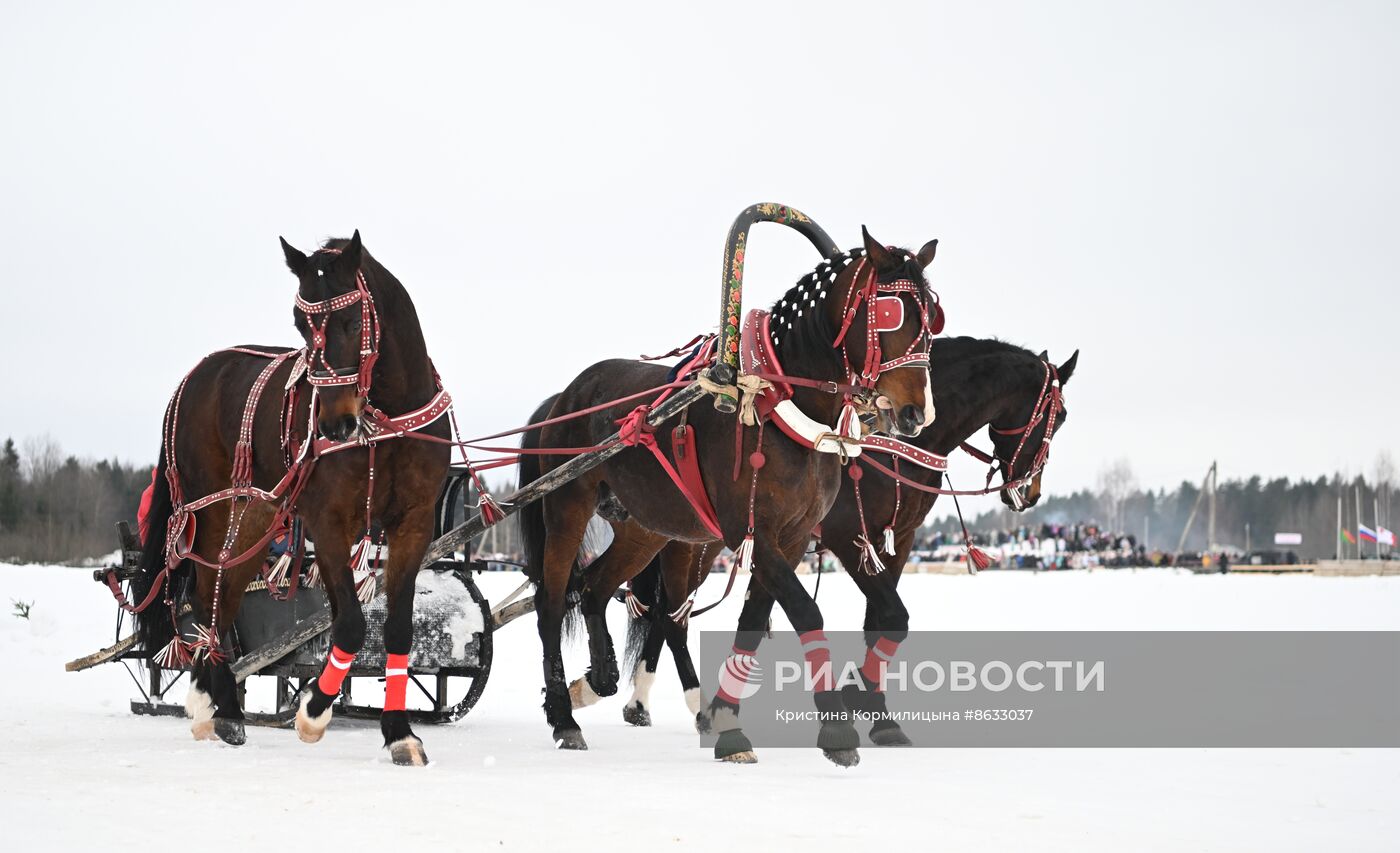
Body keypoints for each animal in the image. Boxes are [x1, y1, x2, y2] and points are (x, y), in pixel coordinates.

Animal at [130, 232, 448, 767]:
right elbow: (349, 625)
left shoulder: (414, 523)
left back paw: (221, 707)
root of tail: (193, 377)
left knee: (226, 593)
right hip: (213, 508)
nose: (334, 424)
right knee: (207, 593)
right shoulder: (329, 521)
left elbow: (397, 629)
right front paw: (314, 709)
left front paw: (399, 733)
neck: (384, 421)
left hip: (256, 515)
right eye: (301, 324)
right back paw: (213, 702)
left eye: (351, 319)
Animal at [518, 226, 940, 767]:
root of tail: (564, 398)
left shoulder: (793, 538)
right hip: (568, 506)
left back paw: (599, 679)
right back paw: (564, 716)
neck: (778, 403)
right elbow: (806, 613)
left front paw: (726, 724)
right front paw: (836, 731)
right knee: (552, 602)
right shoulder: (752, 531)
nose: (915, 412)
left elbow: (753, 622)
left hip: (647, 528)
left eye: (933, 317)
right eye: (888, 312)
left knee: (594, 588)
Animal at [616, 336, 1080, 750]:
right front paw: (860, 695)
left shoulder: (898, 540)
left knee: (666, 616)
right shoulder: (847, 536)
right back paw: (684, 703)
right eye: (1057, 415)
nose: (1030, 492)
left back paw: (645, 702)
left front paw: (879, 713)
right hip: (690, 543)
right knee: (671, 617)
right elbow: (893, 615)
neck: (895, 444)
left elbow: (880, 622)